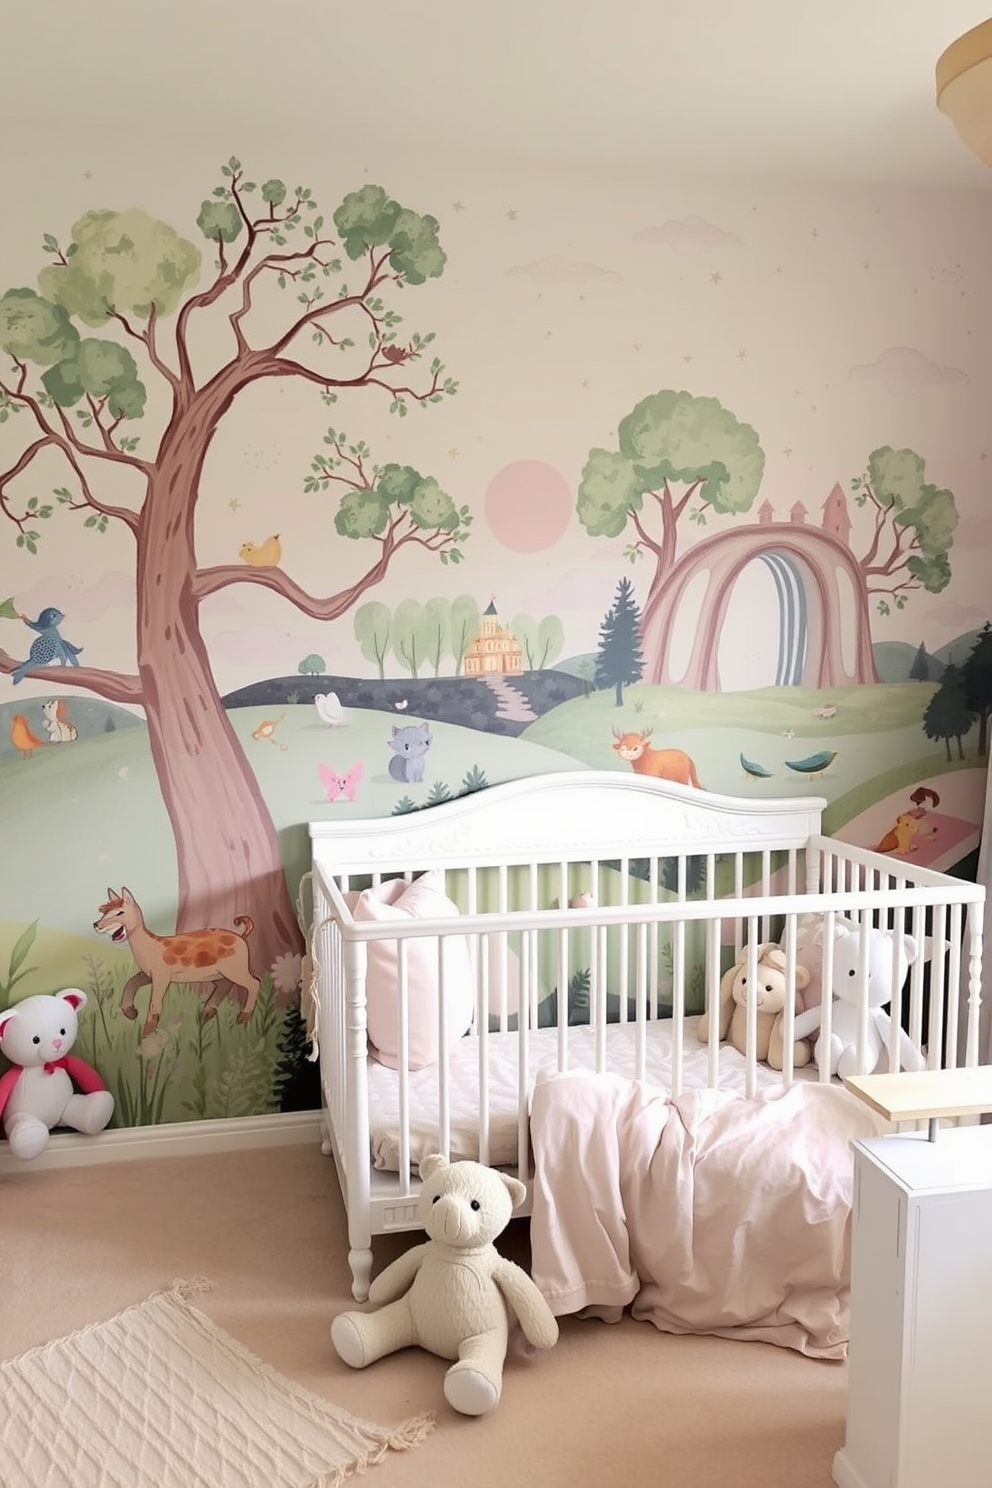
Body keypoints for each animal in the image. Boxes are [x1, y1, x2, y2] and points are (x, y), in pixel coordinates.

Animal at [92, 886, 260, 1041]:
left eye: (120, 912)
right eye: (104, 912)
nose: (96, 924)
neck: (150, 947)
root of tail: (241, 937)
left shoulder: (162, 976)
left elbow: (154, 1004)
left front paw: (146, 1035)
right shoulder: (148, 974)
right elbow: (130, 982)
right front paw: (131, 1012)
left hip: (235, 970)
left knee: (254, 983)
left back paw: (242, 1018)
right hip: (216, 973)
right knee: (225, 985)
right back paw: (206, 1013)